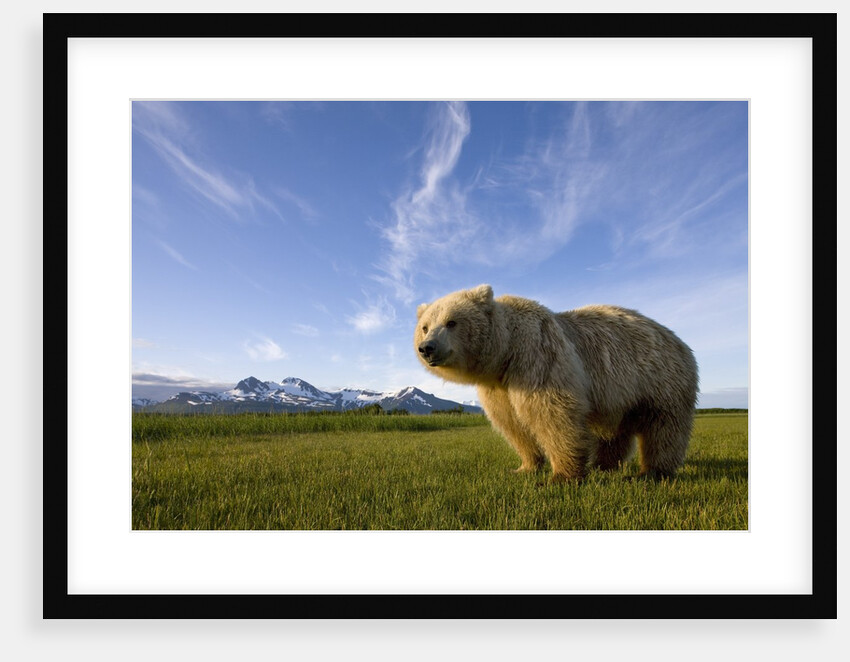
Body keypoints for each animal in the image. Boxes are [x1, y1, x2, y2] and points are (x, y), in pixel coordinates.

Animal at [414, 284, 698, 482]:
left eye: (451, 322)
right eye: (425, 326)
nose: (427, 348)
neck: (505, 354)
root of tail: (679, 341)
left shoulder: (537, 356)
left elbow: (552, 413)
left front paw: (562, 475)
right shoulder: (498, 386)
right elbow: (513, 424)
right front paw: (524, 466)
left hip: (659, 380)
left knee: (663, 428)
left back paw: (652, 472)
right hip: (621, 396)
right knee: (615, 431)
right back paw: (604, 465)